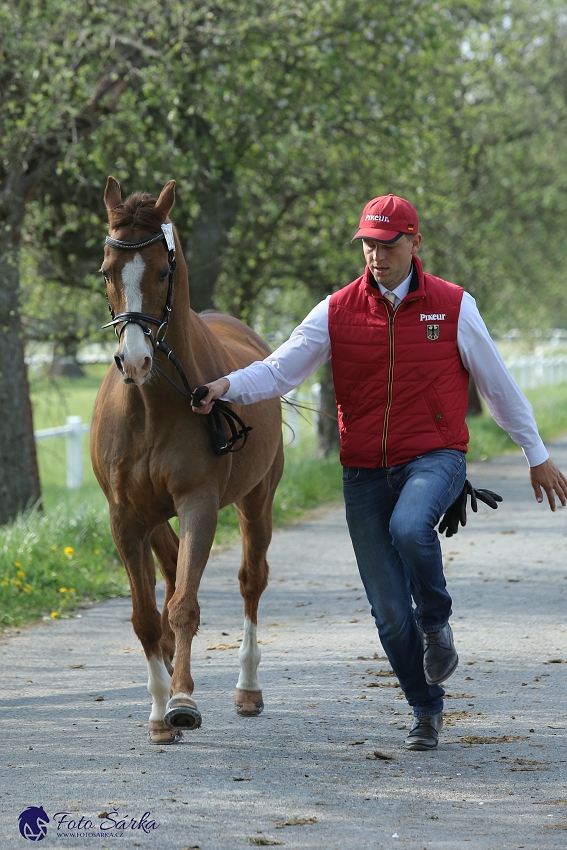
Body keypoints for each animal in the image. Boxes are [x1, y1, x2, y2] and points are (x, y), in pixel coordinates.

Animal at [91, 177, 284, 744]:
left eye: (161, 271)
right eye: (107, 270)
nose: (135, 360)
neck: (152, 406)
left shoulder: (199, 503)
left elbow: (183, 607)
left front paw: (180, 701)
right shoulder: (125, 518)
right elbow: (145, 616)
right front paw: (158, 713)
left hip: (256, 501)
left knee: (250, 580)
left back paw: (247, 689)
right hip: (154, 517)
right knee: (171, 570)